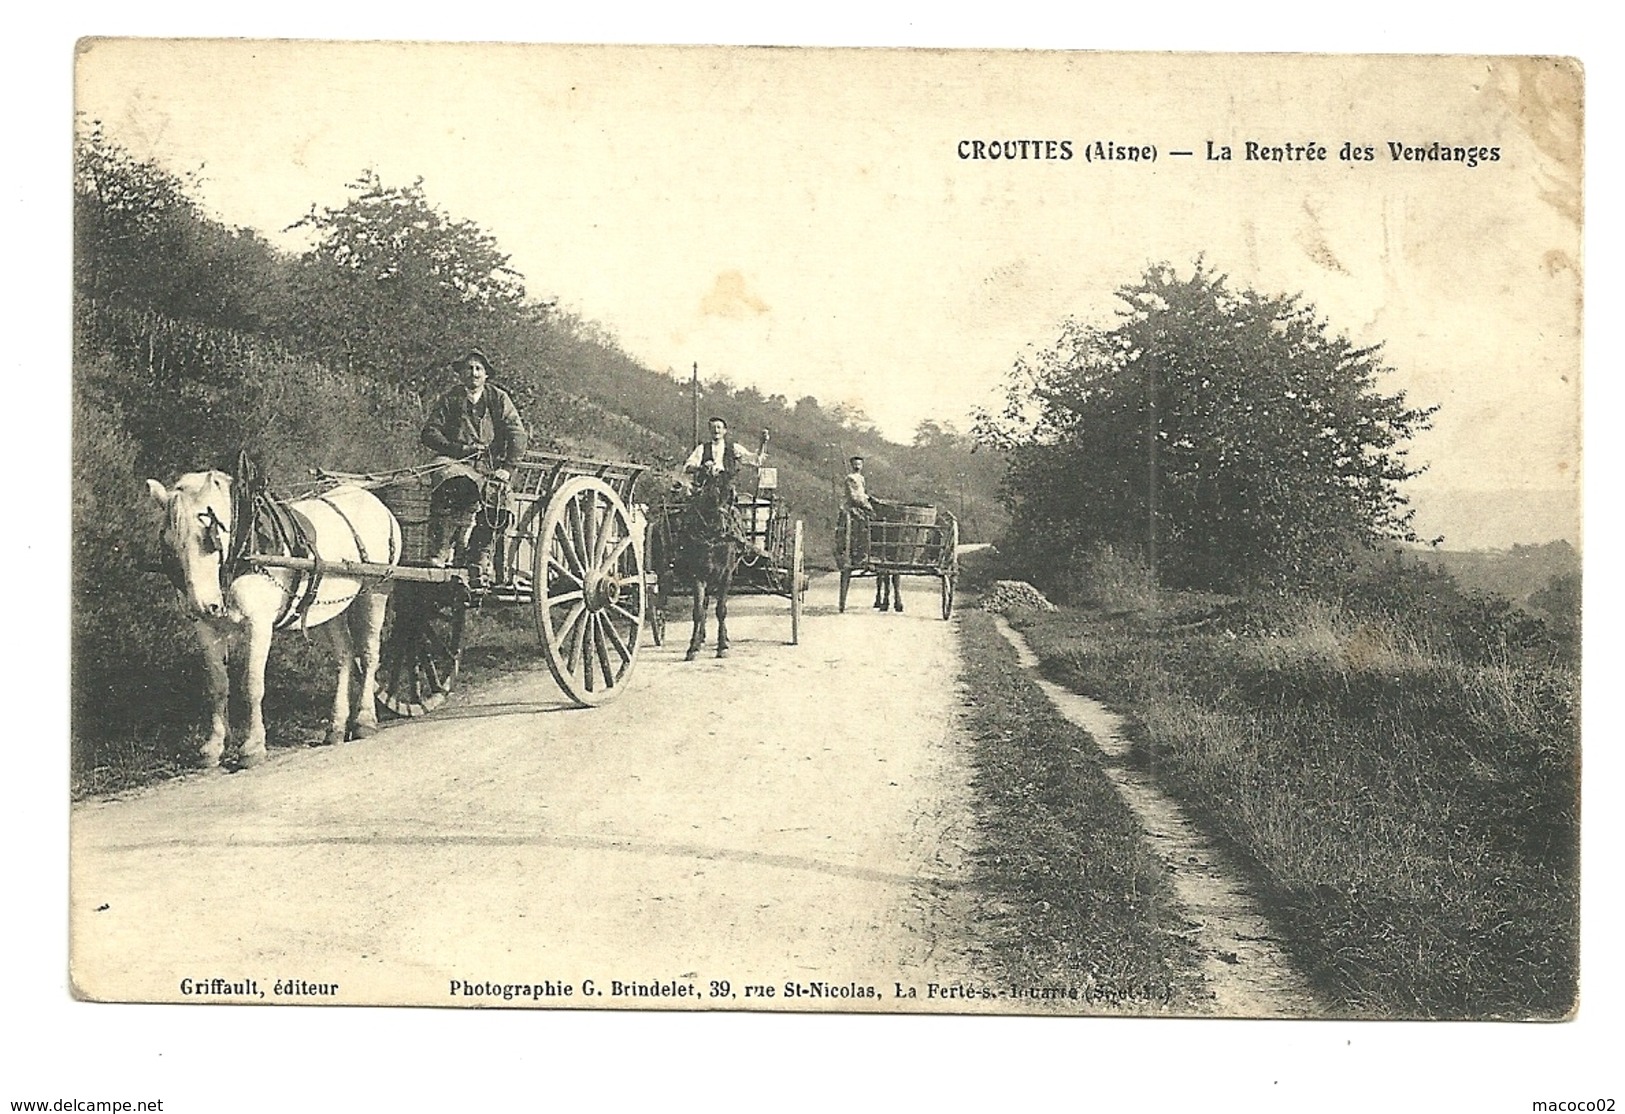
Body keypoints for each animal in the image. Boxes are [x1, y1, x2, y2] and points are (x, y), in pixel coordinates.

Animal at [147, 467, 403, 766]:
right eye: (169, 544)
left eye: (209, 539)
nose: (203, 605)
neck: (245, 547)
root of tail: (375, 502)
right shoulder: (207, 628)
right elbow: (217, 686)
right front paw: (214, 746)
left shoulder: (258, 624)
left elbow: (252, 685)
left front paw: (253, 747)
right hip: (331, 608)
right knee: (345, 658)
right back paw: (337, 727)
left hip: (375, 593)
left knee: (370, 654)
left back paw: (364, 721)